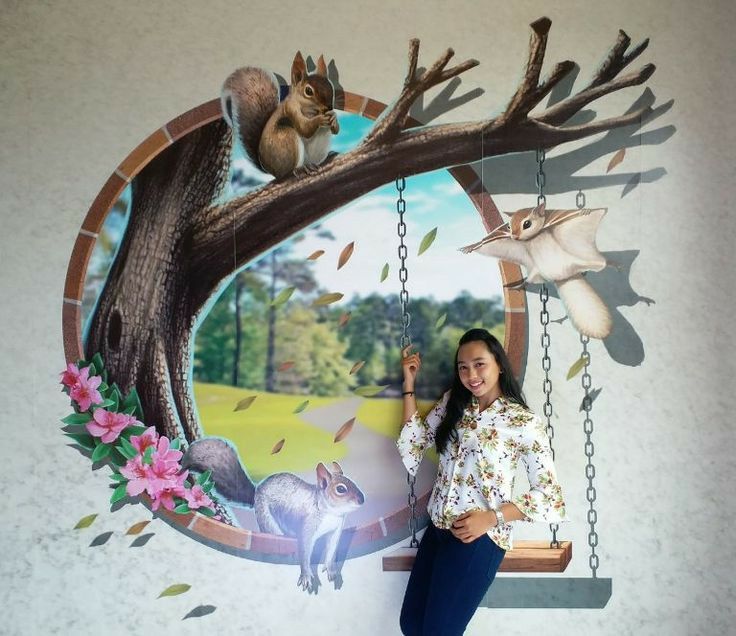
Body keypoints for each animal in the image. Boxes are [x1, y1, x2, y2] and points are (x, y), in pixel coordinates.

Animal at [182, 438, 366, 596]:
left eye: (353, 482)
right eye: (340, 489)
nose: (362, 499)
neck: (330, 512)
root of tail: (256, 492)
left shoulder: (335, 531)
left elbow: (331, 550)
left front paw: (332, 571)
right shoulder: (307, 527)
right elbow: (305, 551)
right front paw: (306, 576)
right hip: (268, 519)